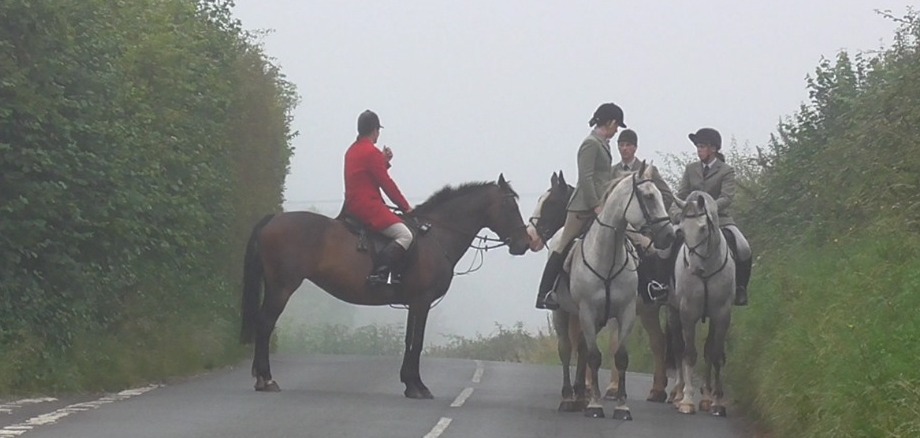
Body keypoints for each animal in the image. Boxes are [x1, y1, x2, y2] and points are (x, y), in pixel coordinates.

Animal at [241, 174, 528, 396]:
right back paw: (266, 379)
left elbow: (409, 340)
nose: (524, 243)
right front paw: (418, 387)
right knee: (265, 324)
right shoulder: (422, 301)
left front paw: (410, 382)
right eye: (510, 205)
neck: (435, 236)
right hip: (282, 287)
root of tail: (272, 219)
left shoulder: (414, 302)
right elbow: (417, 341)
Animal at [536, 163, 672, 420]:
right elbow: (593, 356)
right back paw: (568, 398)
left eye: (658, 195)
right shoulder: (588, 312)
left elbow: (620, 356)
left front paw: (621, 406)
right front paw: (595, 404)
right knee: (566, 349)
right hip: (562, 313)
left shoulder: (626, 312)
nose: (670, 234)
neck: (607, 256)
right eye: (649, 197)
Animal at [664, 190, 736, 416]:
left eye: (703, 228)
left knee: (707, 350)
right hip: (673, 312)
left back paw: (705, 397)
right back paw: (677, 393)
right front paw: (687, 400)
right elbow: (689, 354)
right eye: (682, 231)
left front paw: (716, 401)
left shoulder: (721, 314)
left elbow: (715, 354)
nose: (695, 269)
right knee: (678, 348)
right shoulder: (688, 313)